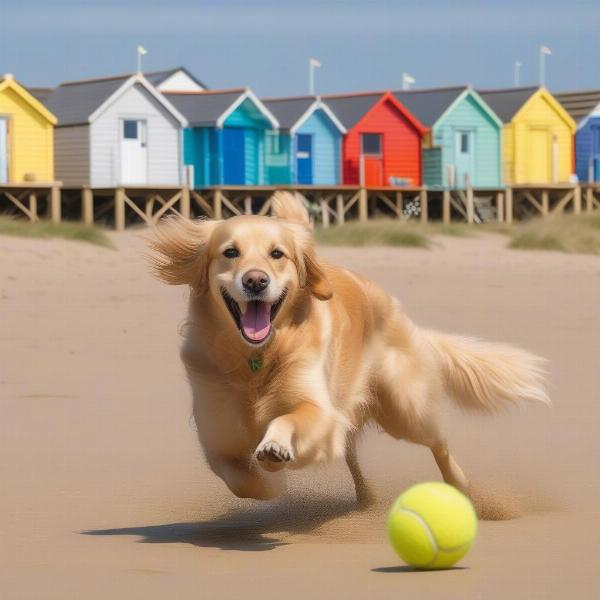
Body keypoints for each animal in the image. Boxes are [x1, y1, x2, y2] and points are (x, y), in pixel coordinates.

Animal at [150, 192, 548, 506]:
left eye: (277, 254)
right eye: (230, 252)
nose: (255, 281)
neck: (256, 358)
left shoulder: (320, 410)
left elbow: (289, 418)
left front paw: (275, 448)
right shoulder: (217, 438)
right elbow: (242, 481)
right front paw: (270, 481)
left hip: (404, 408)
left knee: (439, 442)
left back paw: (463, 489)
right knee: (352, 453)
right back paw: (365, 498)